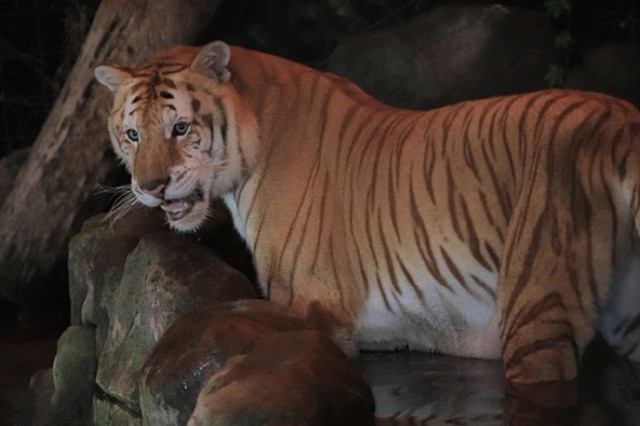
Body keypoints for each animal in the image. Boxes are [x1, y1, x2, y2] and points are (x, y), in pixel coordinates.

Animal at [95, 40, 640, 384]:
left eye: (181, 128)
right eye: (133, 134)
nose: (151, 187)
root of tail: (620, 120)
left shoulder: (314, 308)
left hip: (537, 304)